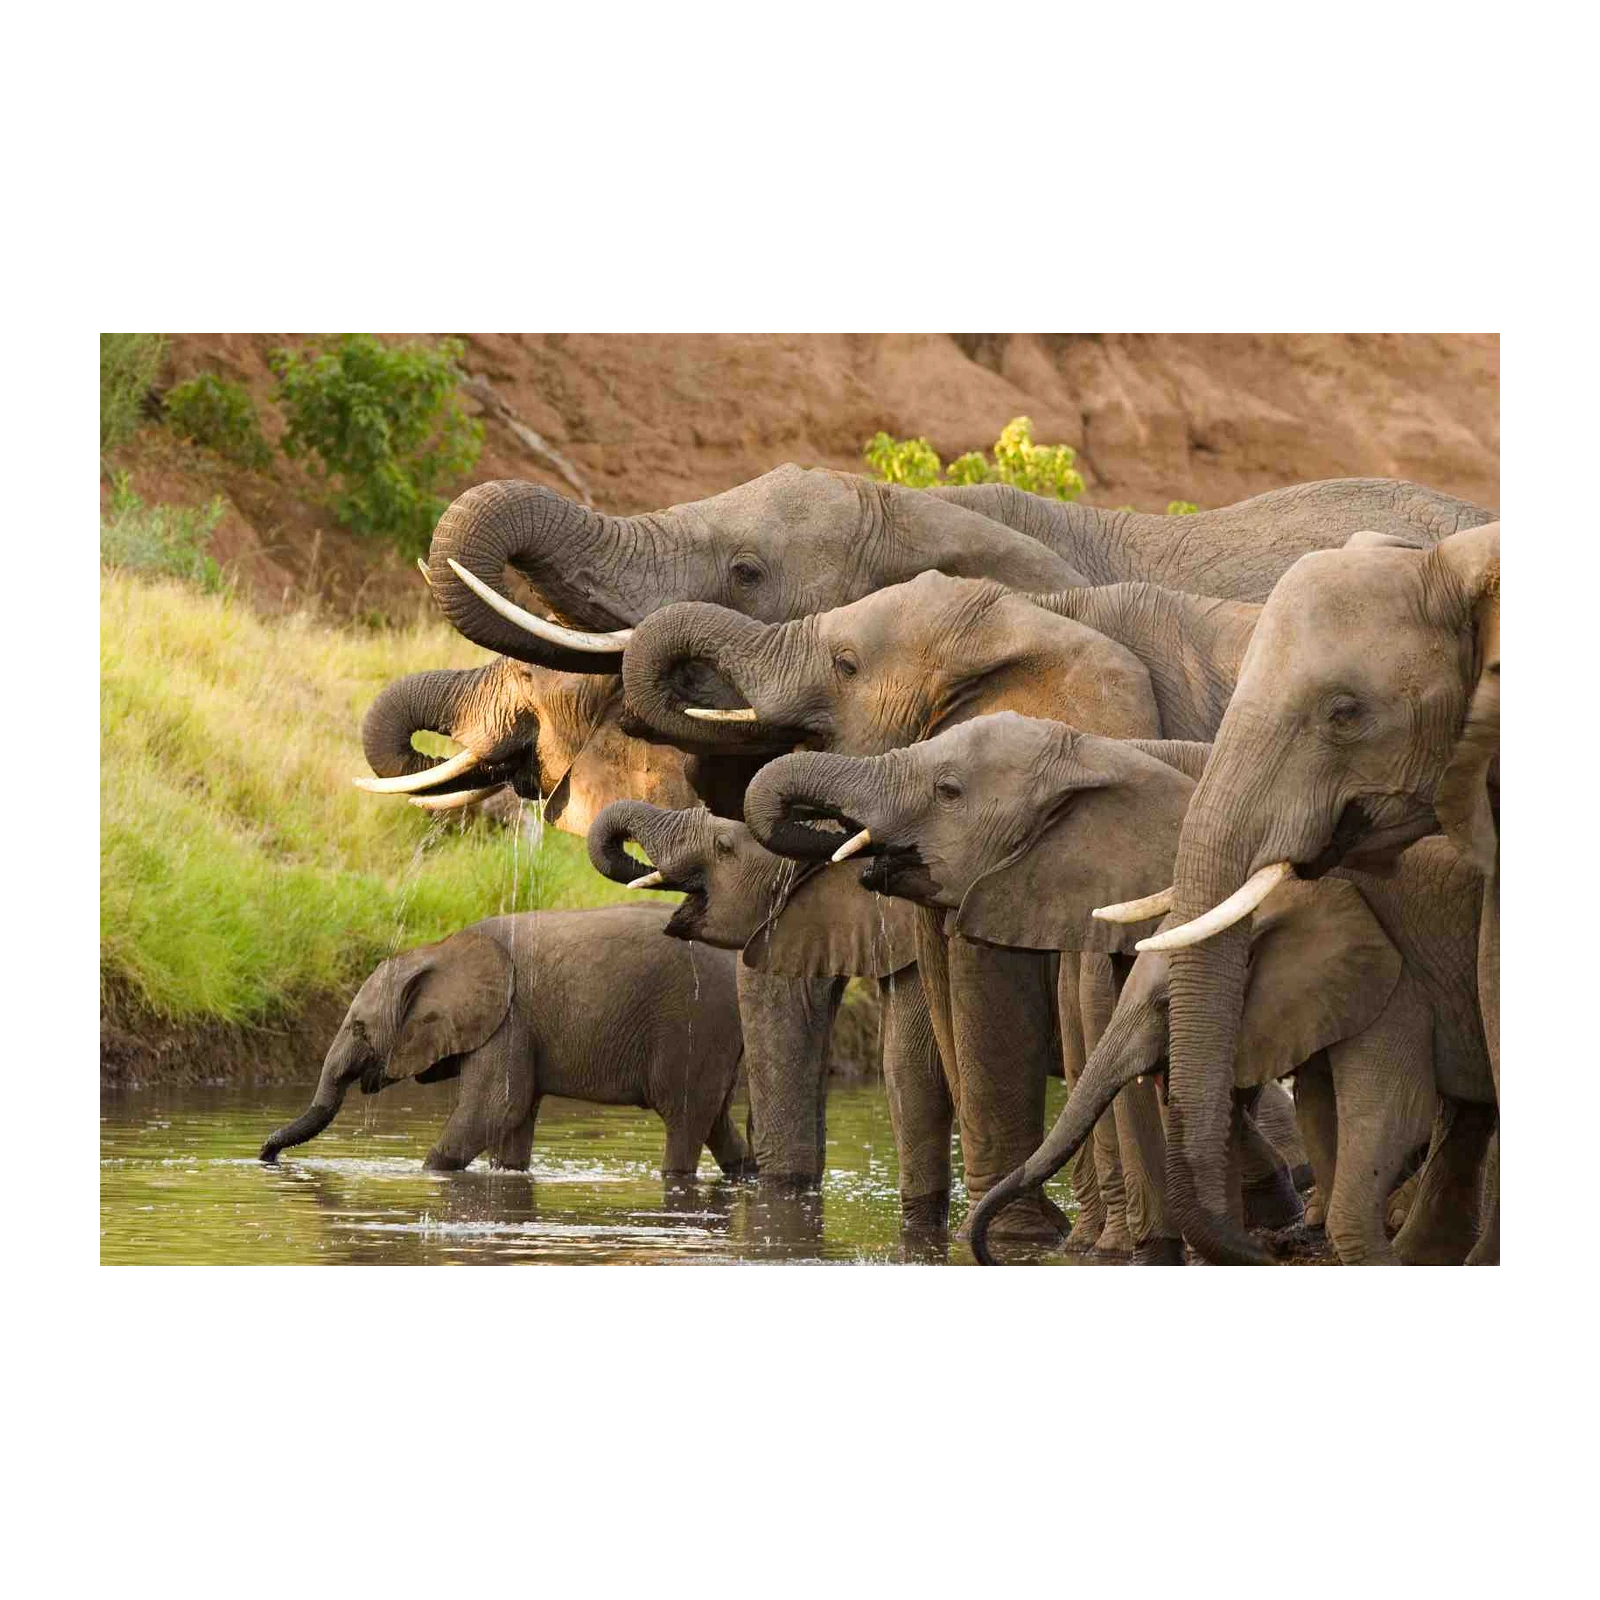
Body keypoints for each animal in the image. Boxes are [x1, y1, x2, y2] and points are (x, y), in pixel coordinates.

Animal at [259, 904, 752, 1180]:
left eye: (359, 1028)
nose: (265, 1155)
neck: (439, 949)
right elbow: (512, 1121)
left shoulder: (509, 1018)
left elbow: (495, 1108)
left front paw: (426, 1174)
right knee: (716, 1121)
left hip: (696, 1024)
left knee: (685, 1119)